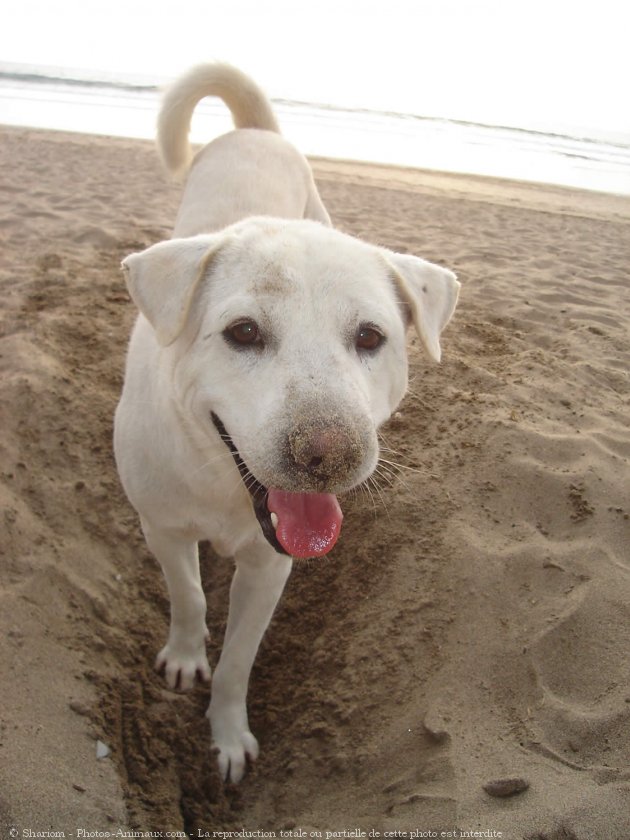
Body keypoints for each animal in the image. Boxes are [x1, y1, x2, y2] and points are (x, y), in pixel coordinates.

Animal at [113, 64, 460, 780]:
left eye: (370, 337)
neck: (222, 483)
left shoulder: (270, 568)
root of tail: (255, 132)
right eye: (243, 332)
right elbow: (189, 596)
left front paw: (226, 734)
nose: (329, 452)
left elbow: (240, 661)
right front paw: (185, 657)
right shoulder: (162, 527)